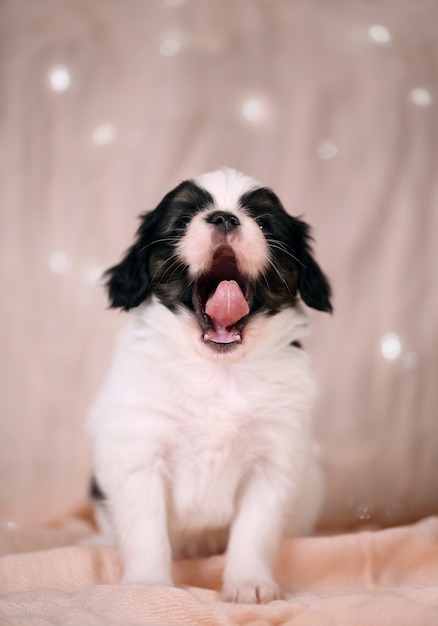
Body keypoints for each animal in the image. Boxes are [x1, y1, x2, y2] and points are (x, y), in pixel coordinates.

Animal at [87, 168, 330, 604]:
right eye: (182, 220)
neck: (218, 372)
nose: (224, 218)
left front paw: (249, 583)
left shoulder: (273, 461)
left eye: (264, 223)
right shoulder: (139, 451)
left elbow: (255, 528)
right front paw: (148, 586)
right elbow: (145, 529)